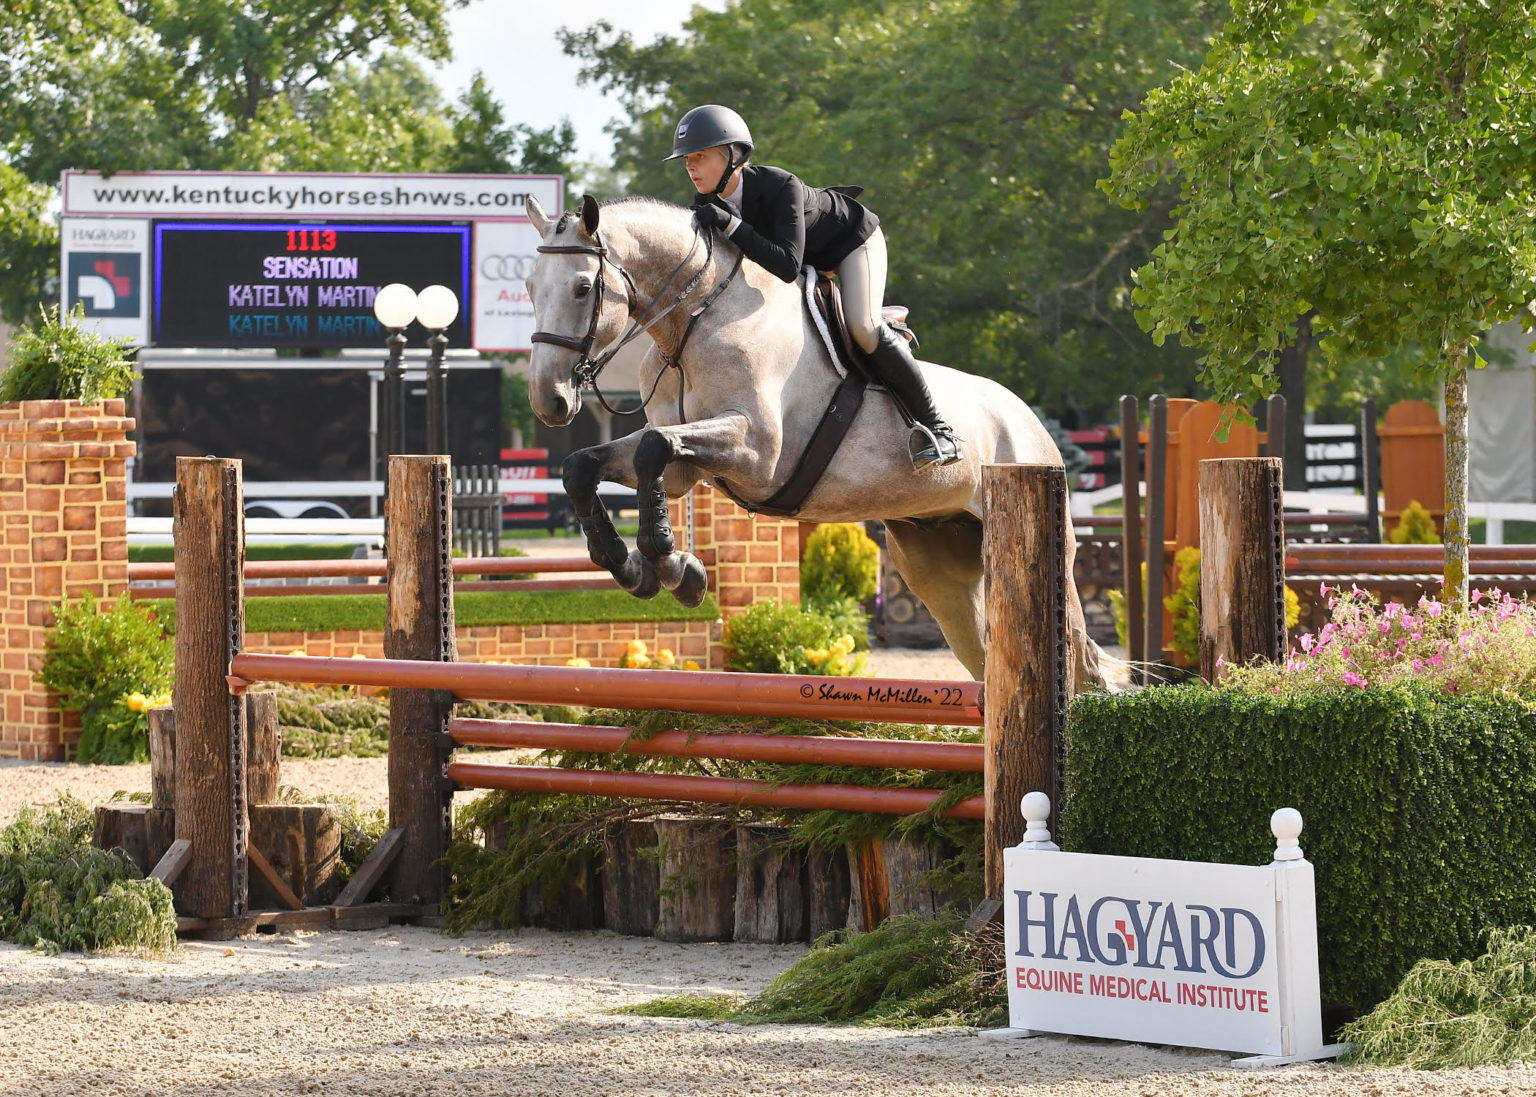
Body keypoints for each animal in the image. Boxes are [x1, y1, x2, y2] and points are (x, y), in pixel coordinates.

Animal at [522, 188, 1124, 682]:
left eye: (582, 288)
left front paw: (673, 567)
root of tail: (1032, 423)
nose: (549, 401)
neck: (694, 321)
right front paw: (637, 568)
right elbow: (587, 465)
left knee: (1080, 666)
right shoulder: (684, 468)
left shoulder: (758, 454)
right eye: (528, 287)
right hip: (940, 564)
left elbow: (651, 447)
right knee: (984, 662)